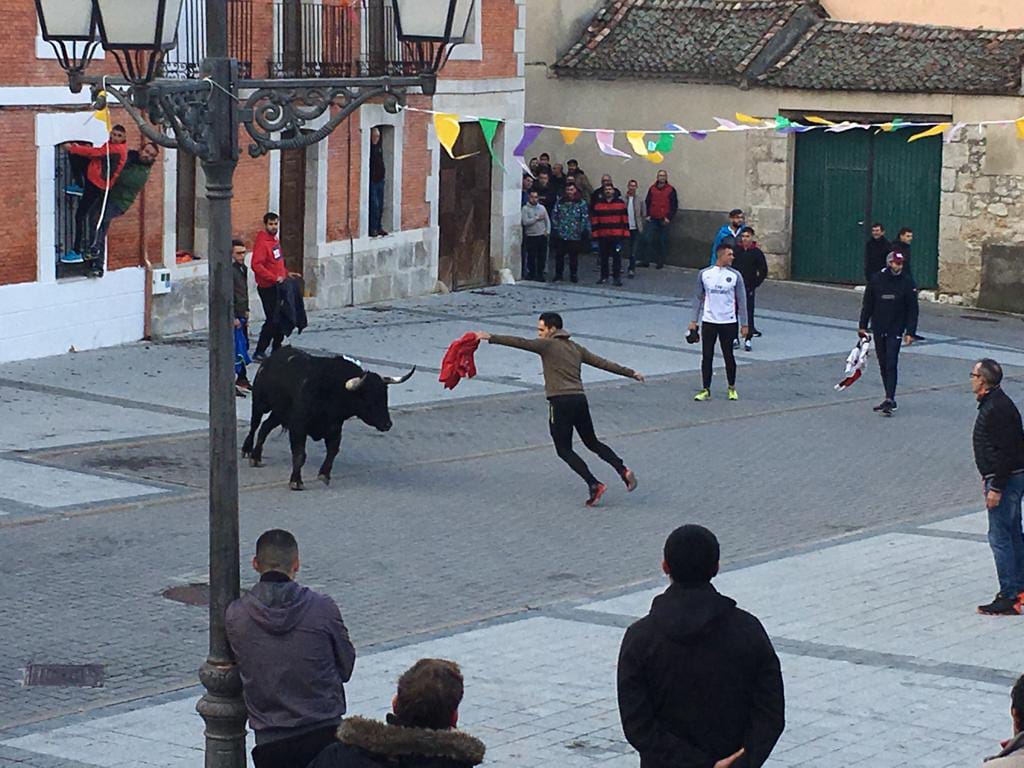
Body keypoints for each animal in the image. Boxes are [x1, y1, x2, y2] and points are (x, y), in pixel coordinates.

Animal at [241, 348, 413, 489]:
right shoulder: (298, 426)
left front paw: (324, 474)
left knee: (265, 427)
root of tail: (272, 357)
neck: (332, 390)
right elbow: (300, 454)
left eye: (385, 396)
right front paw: (296, 481)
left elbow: (333, 450)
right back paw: (247, 451)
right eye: (368, 397)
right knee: (255, 425)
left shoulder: (334, 428)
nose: (387, 424)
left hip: (279, 413)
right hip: (260, 403)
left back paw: (256, 457)